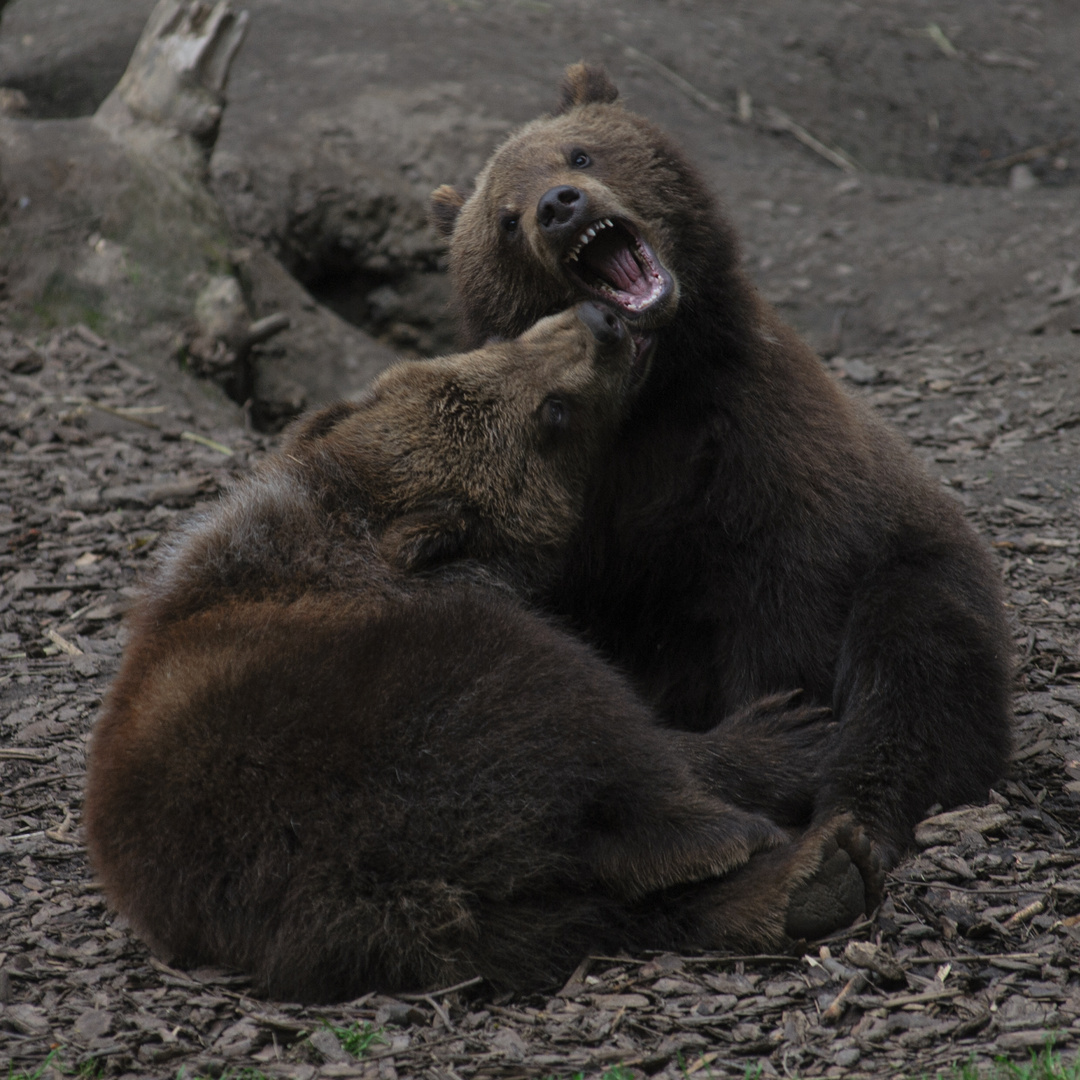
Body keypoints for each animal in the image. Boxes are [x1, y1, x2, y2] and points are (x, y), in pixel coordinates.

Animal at [82, 304, 876, 1002]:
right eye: (554, 413)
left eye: (494, 347)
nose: (602, 321)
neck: (343, 528)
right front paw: (781, 733)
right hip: (427, 707)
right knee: (615, 752)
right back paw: (774, 792)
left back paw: (814, 879)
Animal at [429, 63, 1010, 868]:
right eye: (505, 220)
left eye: (578, 153)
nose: (557, 206)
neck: (652, 397)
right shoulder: (563, 510)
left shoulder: (761, 449)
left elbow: (784, 604)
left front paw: (789, 729)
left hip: (920, 565)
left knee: (914, 667)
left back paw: (847, 824)